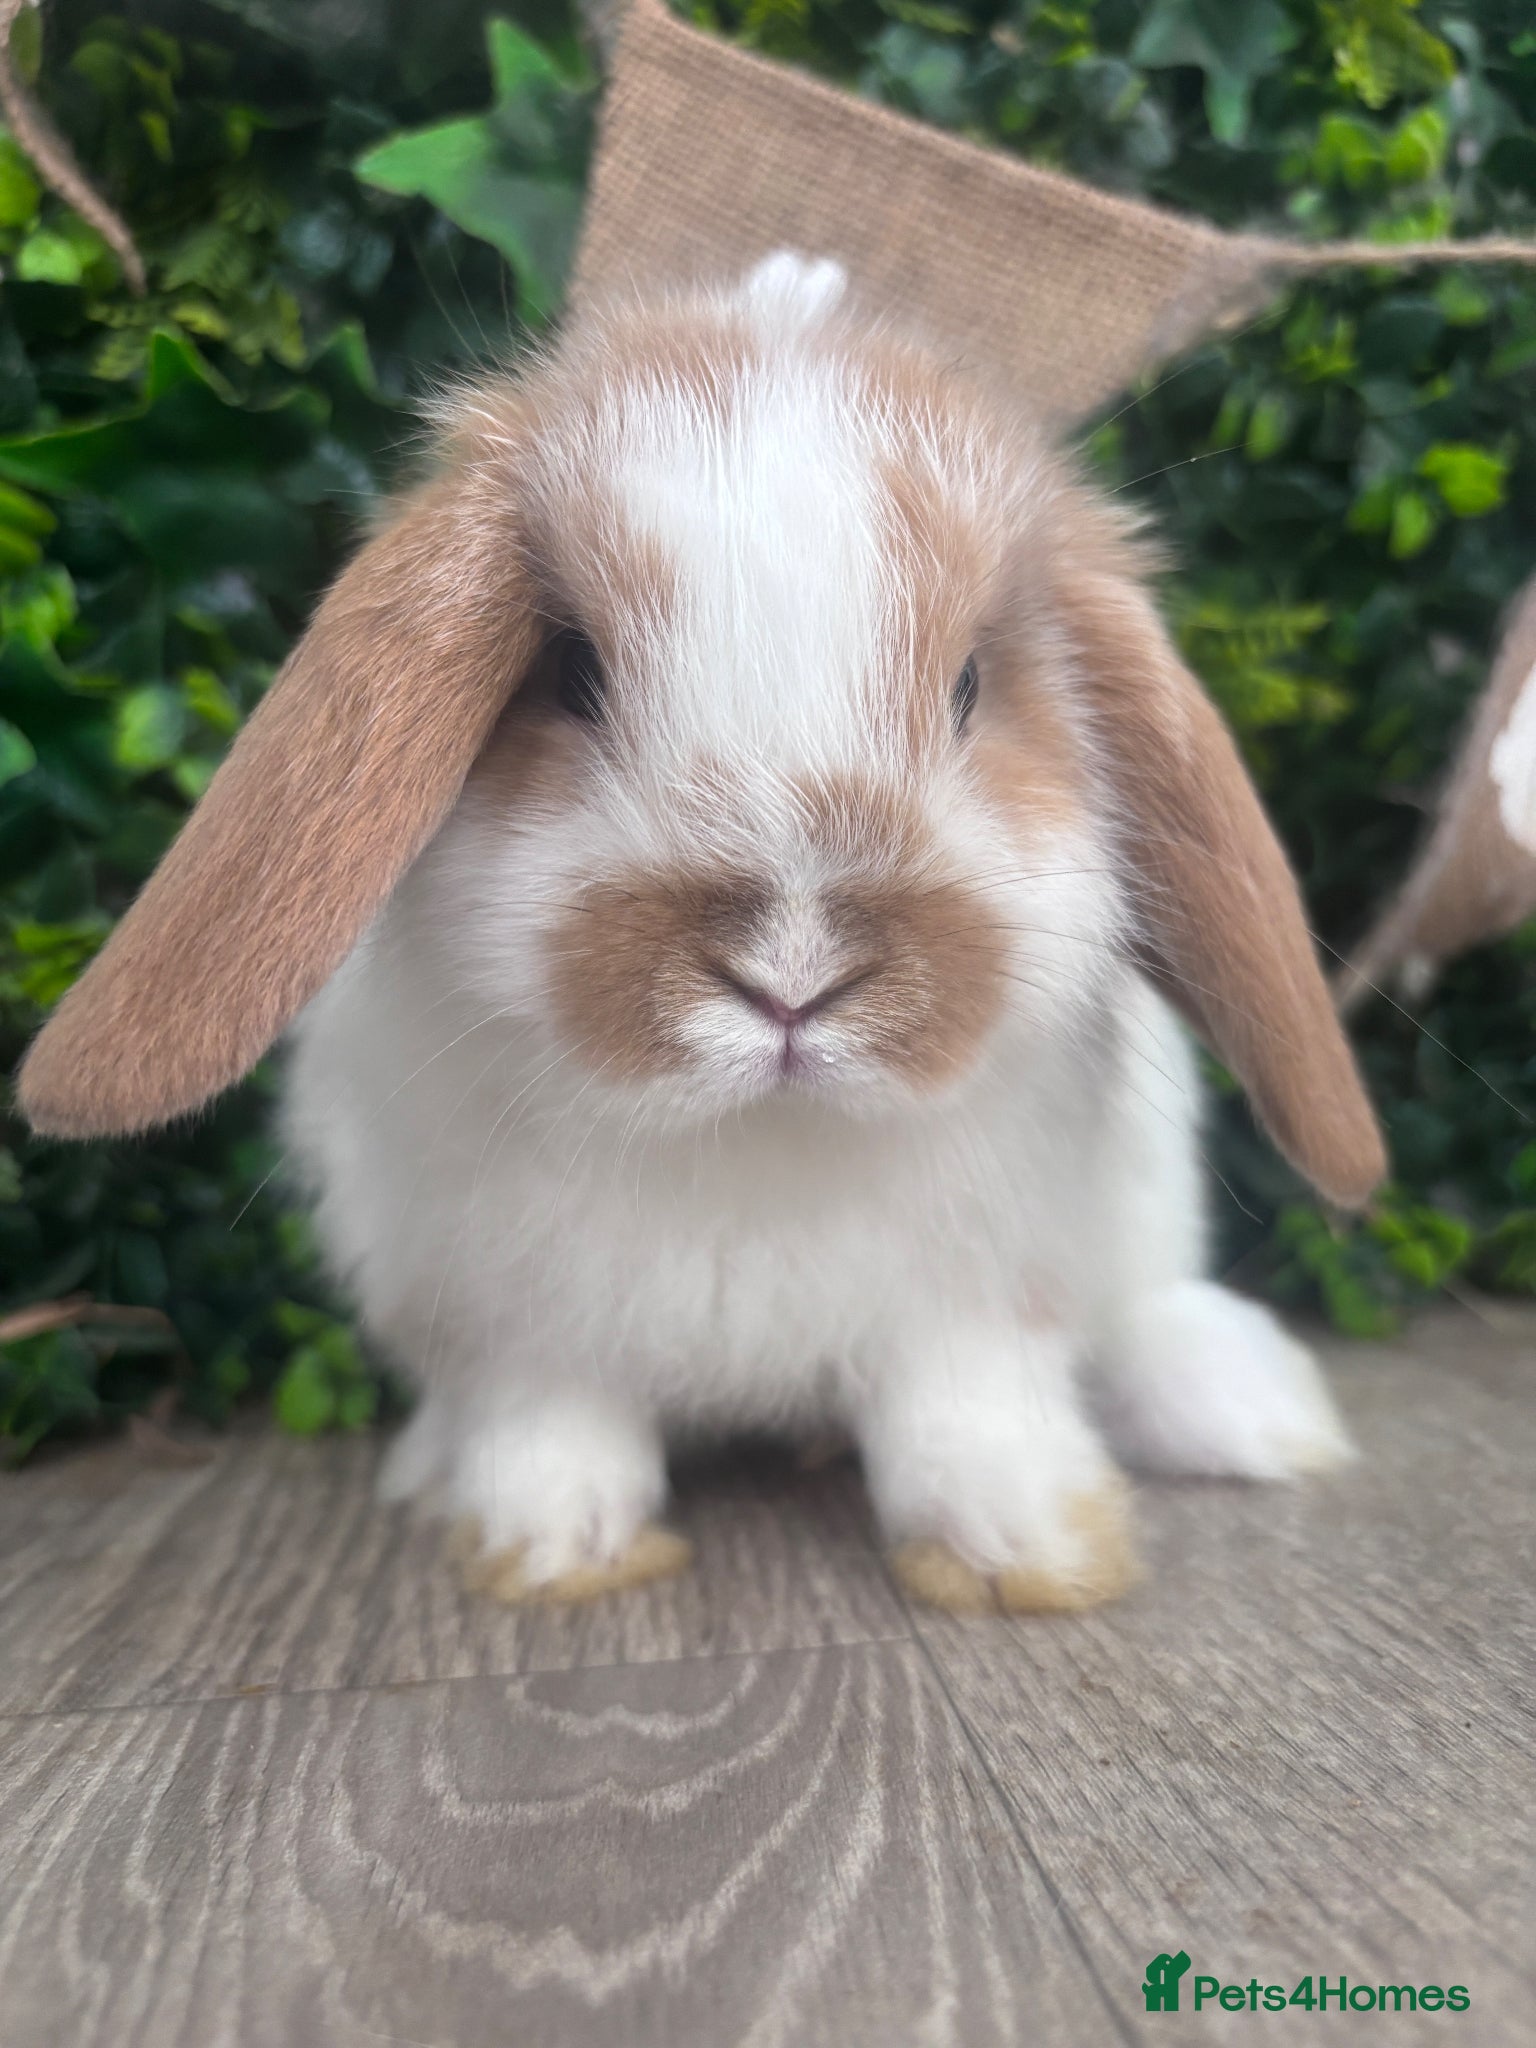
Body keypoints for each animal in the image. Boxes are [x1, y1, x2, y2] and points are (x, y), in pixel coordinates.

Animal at [20, 252, 1384, 1611]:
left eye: (970, 687)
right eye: (572, 673)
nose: (793, 978)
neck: (755, 1138)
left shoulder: (977, 1299)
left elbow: (968, 1413)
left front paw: (1027, 1551)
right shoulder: (521, 1317)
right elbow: (552, 1420)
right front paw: (551, 1546)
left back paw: (1259, 1413)